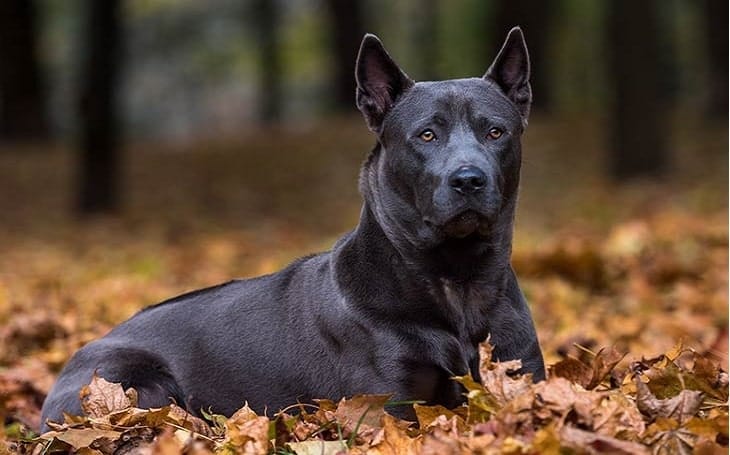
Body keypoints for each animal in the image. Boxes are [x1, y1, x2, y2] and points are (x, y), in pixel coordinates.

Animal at [39, 26, 540, 432]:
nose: (469, 179)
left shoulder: (522, 377)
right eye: (427, 135)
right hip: (136, 384)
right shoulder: (390, 404)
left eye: (495, 132)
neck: (456, 279)